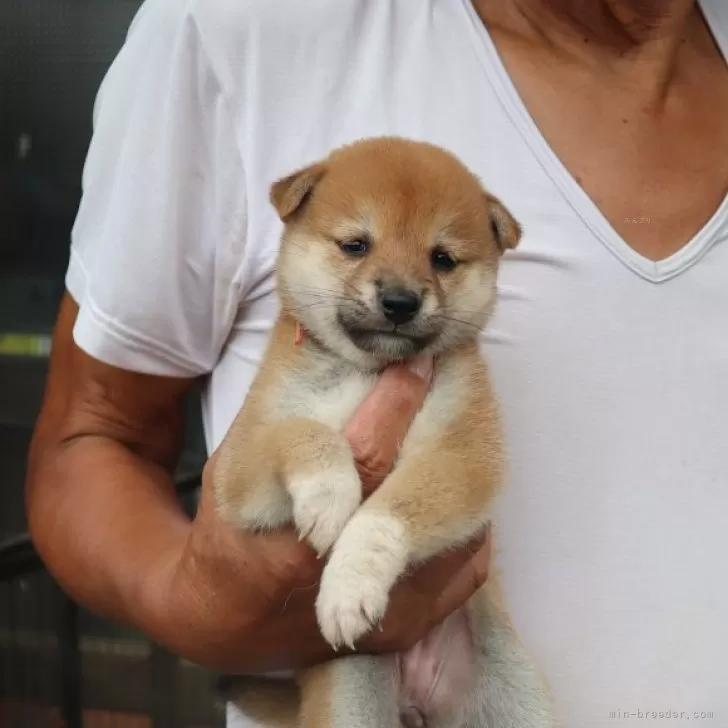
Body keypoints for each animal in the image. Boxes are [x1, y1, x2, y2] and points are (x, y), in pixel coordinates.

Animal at [215, 138, 556, 728]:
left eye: (442, 258)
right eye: (356, 244)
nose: (400, 301)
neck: (367, 370)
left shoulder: (464, 452)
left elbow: (388, 513)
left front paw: (350, 582)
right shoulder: (241, 466)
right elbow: (302, 430)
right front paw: (329, 490)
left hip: (518, 698)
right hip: (352, 698)